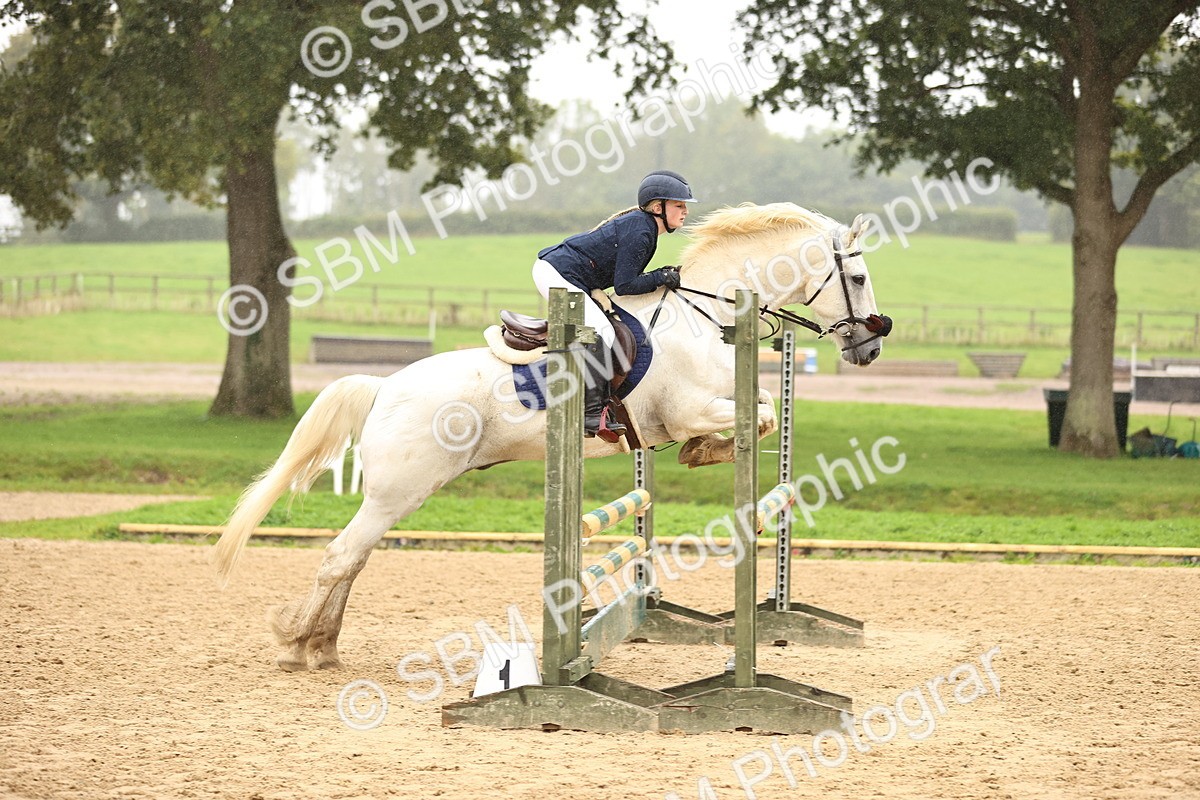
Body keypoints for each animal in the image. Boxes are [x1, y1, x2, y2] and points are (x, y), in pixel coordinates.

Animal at [212, 202, 889, 672]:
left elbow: (766, 411)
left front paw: (708, 455)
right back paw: (299, 646)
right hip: (398, 492)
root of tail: (384, 387)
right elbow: (755, 416)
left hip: (395, 495)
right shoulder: (691, 408)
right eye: (856, 276)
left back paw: (323, 646)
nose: (872, 344)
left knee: (352, 560)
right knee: (340, 557)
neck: (707, 315)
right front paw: (705, 451)